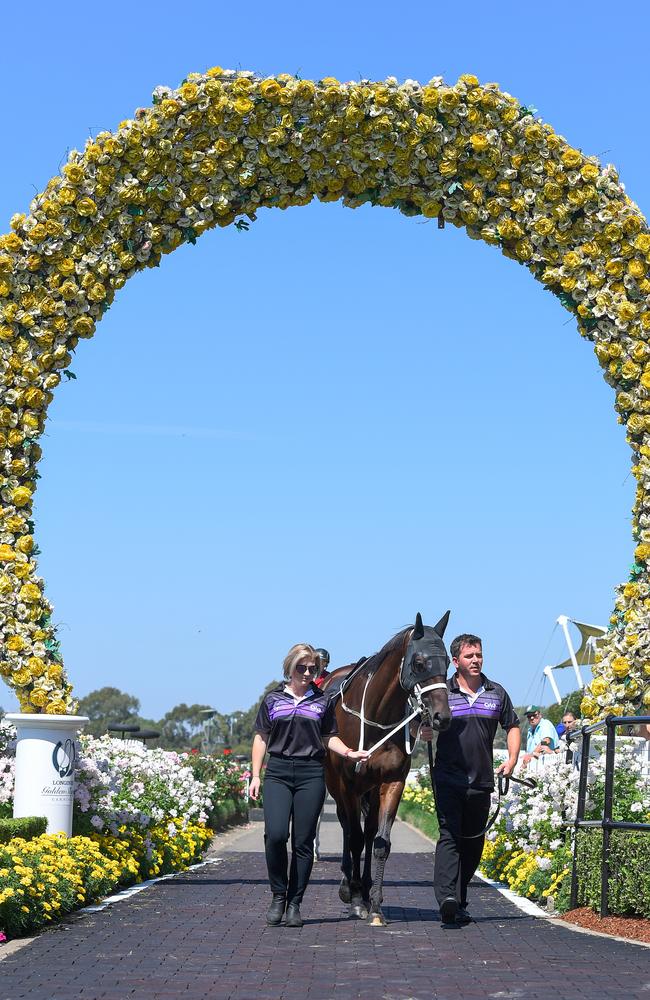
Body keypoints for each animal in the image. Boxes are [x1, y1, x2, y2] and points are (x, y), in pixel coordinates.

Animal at [320, 612, 450, 924]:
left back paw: (365, 888)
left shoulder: (392, 782)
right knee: (348, 828)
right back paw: (349, 887)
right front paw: (356, 898)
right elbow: (354, 838)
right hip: (337, 787)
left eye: (449, 662)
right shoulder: (348, 786)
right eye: (419, 662)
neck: (376, 720)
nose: (442, 717)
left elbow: (379, 843)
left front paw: (375, 905)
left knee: (367, 832)